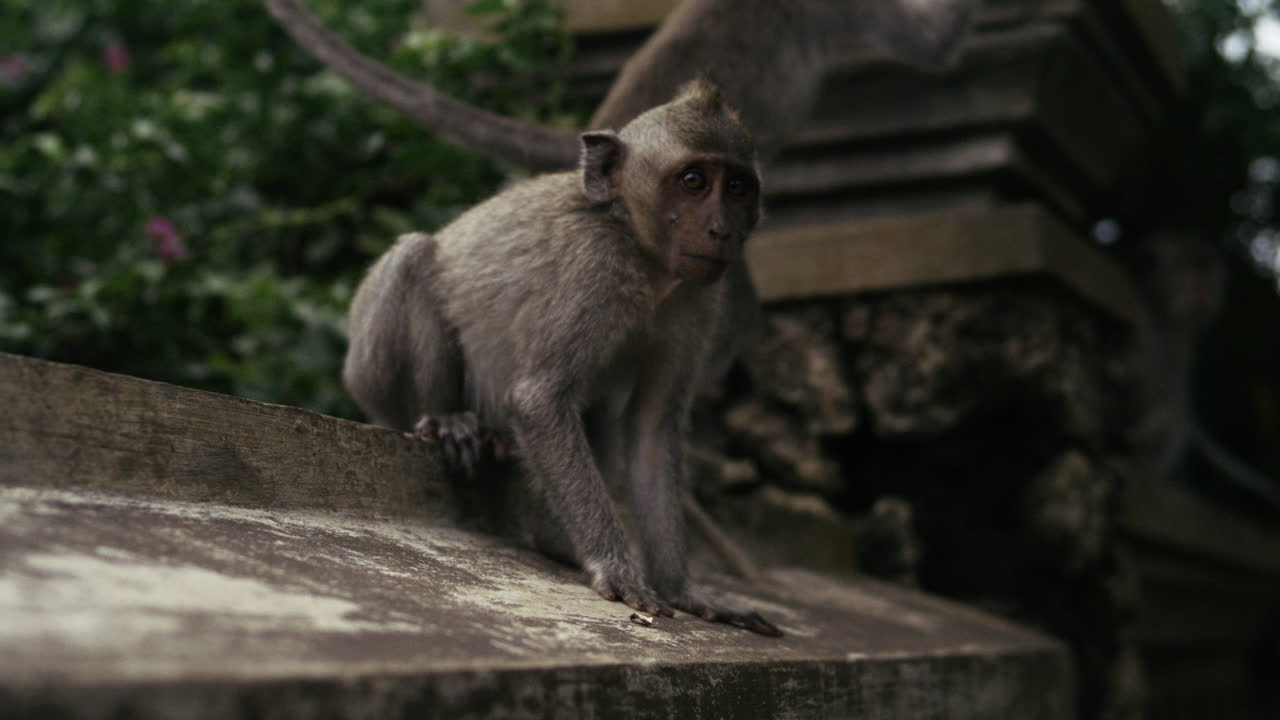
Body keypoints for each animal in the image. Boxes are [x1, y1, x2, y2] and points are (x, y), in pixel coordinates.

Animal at [343, 80, 782, 636]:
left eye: (739, 188)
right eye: (694, 181)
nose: (723, 230)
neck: (640, 251)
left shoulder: (699, 302)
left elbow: (650, 430)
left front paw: (684, 590)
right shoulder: (594, 269)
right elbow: (541, 400)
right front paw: (616, 568)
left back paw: (555, 539)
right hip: (373, 377)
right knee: (417, 258)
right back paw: (449, 421)